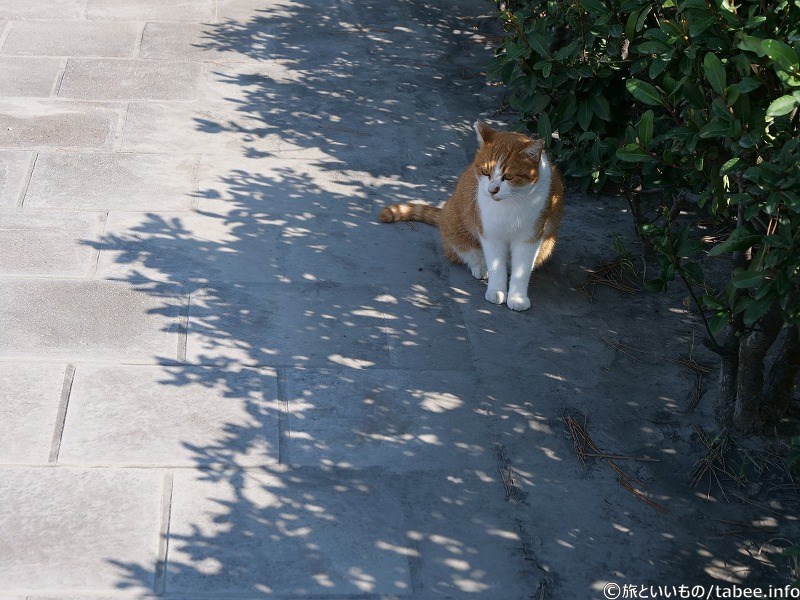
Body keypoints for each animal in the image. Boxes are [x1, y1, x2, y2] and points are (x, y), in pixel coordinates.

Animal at [380, 120, 564, 312]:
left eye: (508, 176)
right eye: (486, 172)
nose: (492, 190)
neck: (509, 204)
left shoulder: (530, 237)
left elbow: (521, 270)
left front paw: (517, 297)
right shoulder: (489, 233)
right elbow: (495, 264)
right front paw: (496, 290)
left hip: (548, 244)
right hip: (453, 222)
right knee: (463, 251)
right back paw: (480, 267)